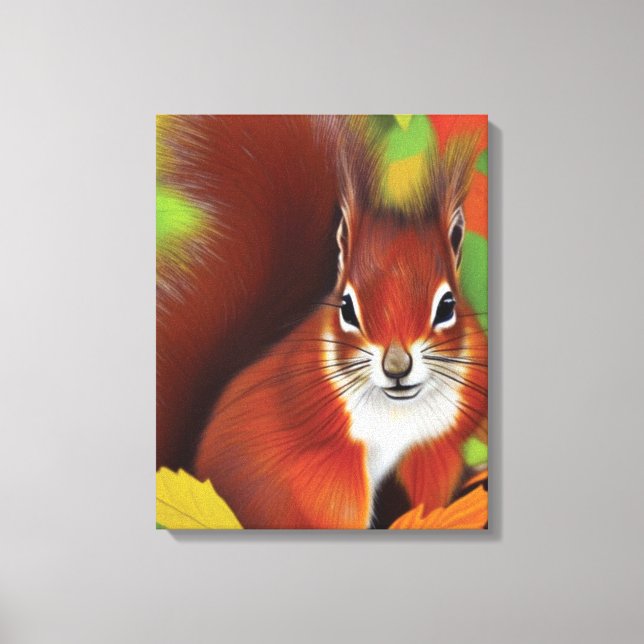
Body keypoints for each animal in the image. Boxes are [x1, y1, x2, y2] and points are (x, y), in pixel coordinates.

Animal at [157, 115, 488, 529]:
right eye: (346, 308)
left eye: (447, 306)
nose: (397, 367)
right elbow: (337, 501)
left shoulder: (436, 444)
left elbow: (431, 484)